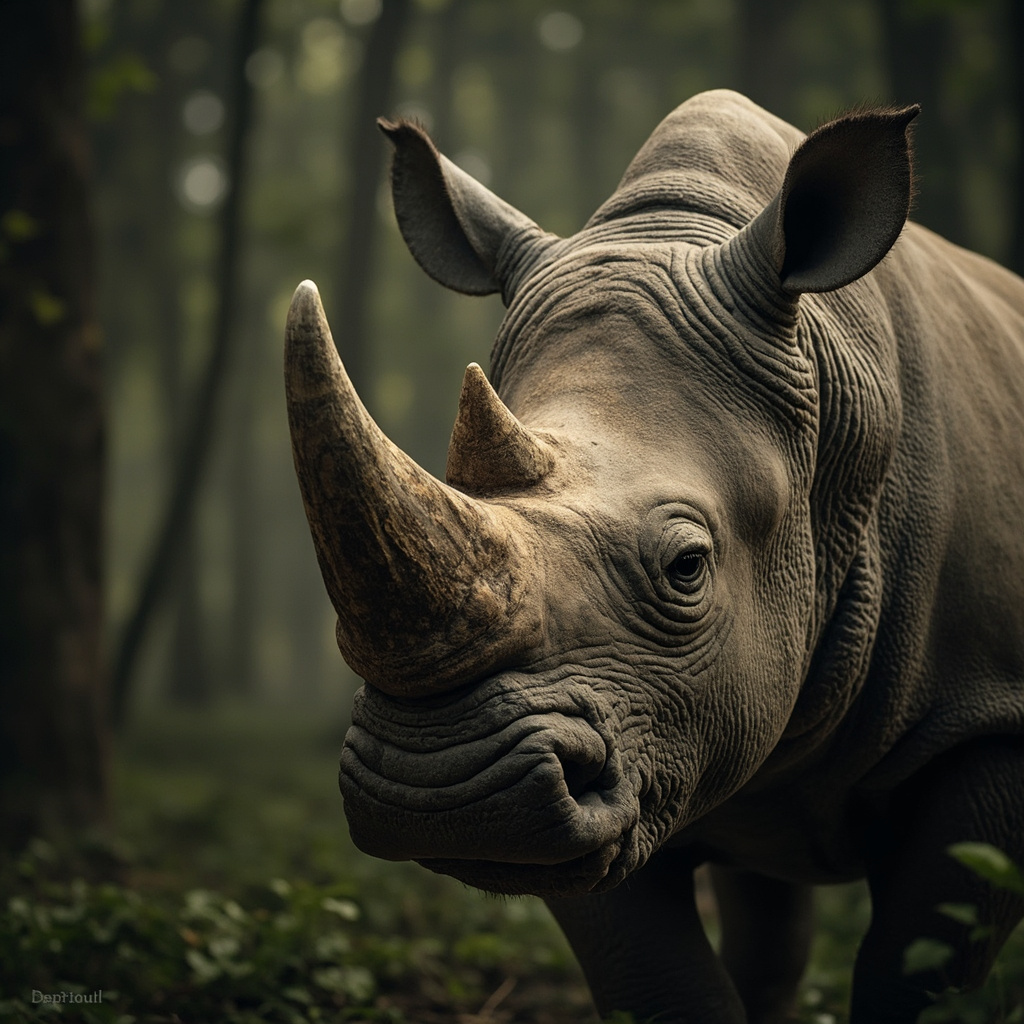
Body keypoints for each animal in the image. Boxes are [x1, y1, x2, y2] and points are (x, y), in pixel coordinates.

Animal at [284, 90, 1024, 1023]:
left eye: (687, 567)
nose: (439, 788)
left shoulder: (989, 717)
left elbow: (922, 970)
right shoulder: (625, 738)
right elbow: (657, 977)